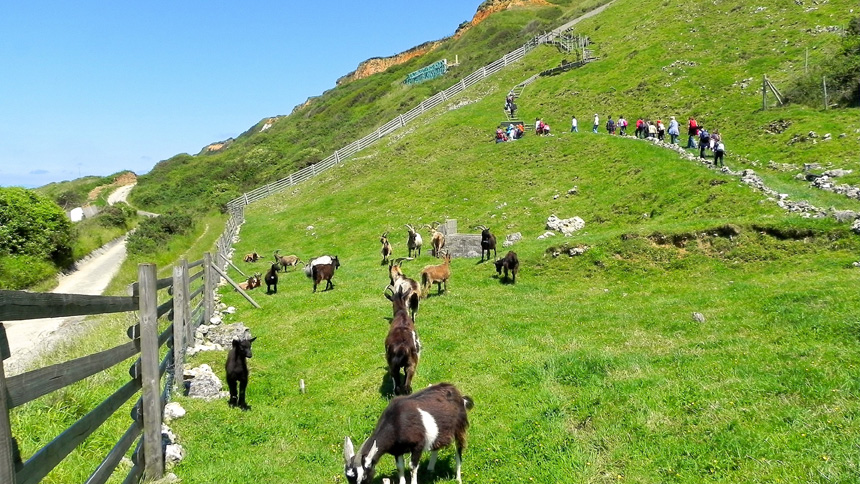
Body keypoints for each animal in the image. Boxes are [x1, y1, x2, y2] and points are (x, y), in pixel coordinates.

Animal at [344, 382, 478, 484]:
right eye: (349, 479)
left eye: (364, 476)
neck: (395, 422)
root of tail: (458, 394)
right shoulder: (397, 450)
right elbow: (400, 468)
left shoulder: (418, 445)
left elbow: (412, 467)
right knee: (436, 446)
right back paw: (430, 470)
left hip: (459, 428)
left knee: (458, 451)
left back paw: (458, 478)